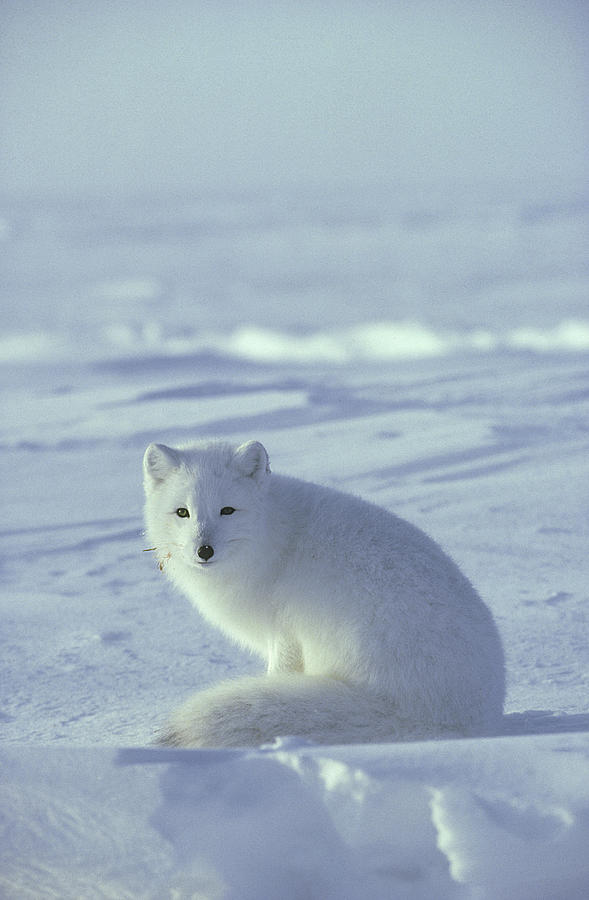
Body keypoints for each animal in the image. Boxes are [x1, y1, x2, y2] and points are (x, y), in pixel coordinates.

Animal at [144, 442, 506, 744]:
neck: (274, 536)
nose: (204, 550)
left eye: (227, 510)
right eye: (182, 512)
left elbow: (278, 673)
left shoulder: (285, 633)